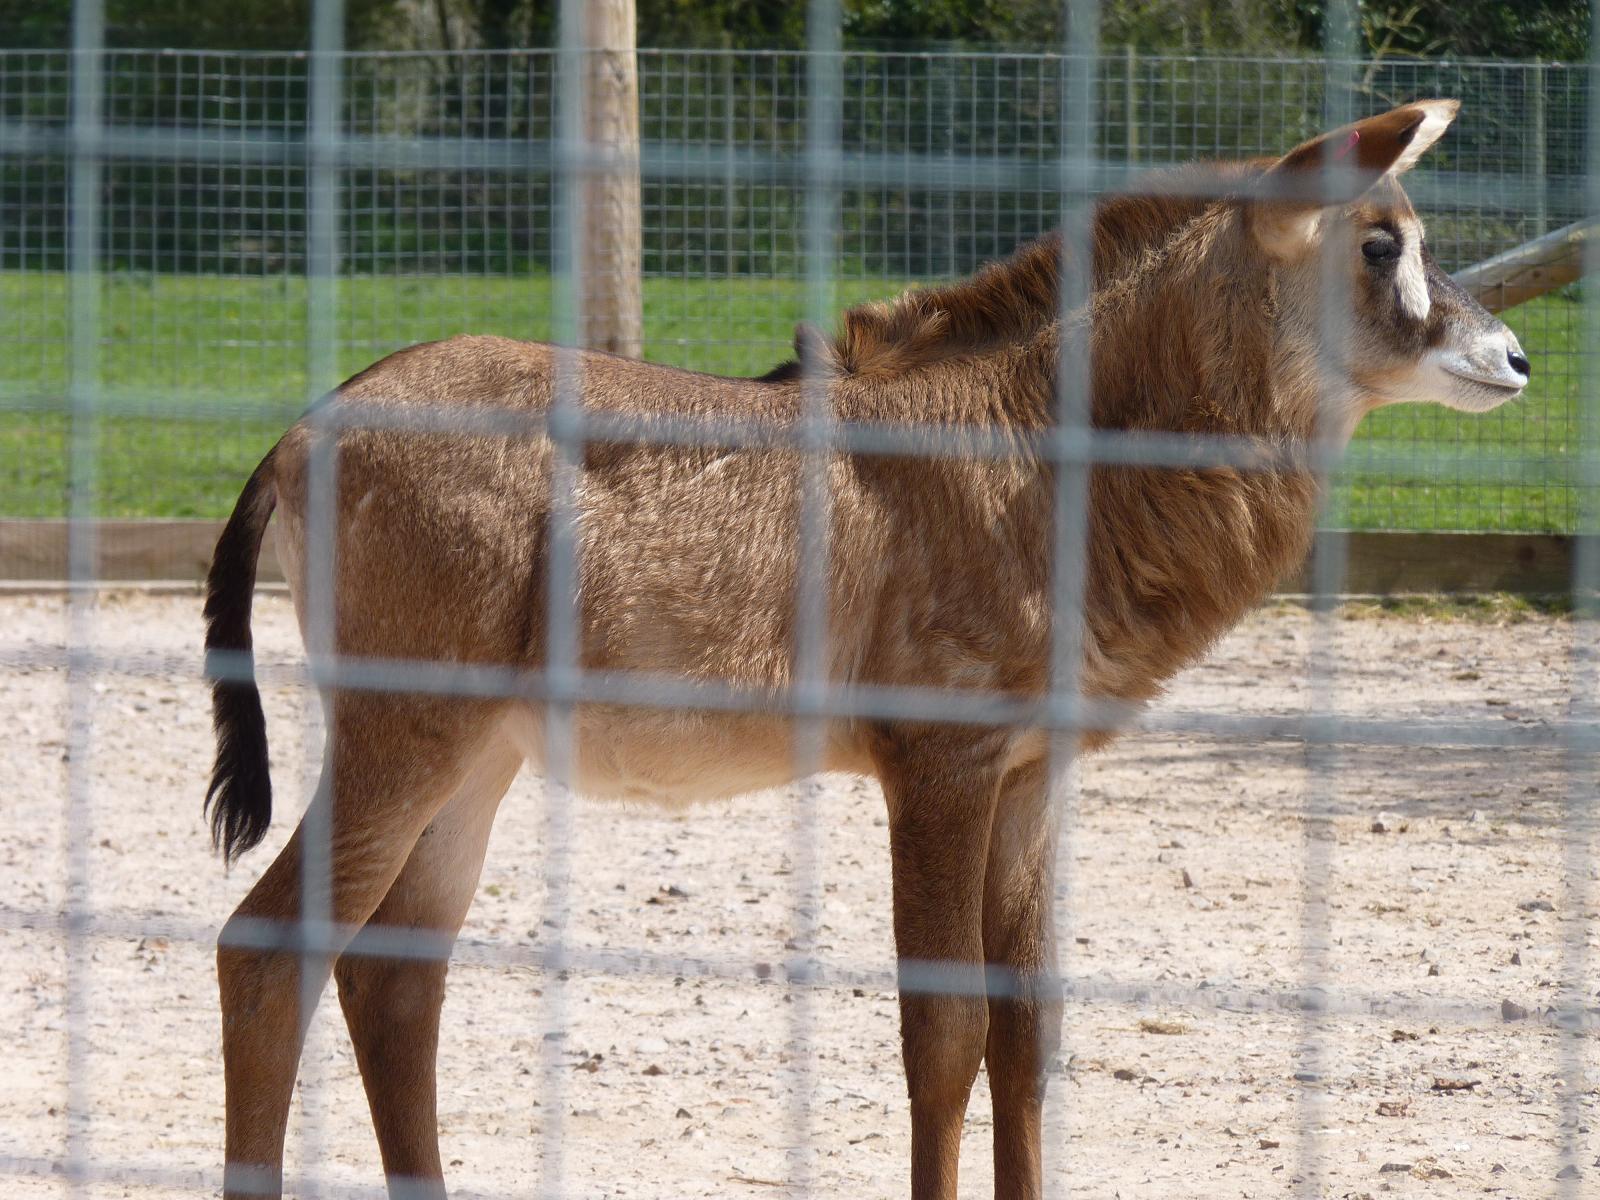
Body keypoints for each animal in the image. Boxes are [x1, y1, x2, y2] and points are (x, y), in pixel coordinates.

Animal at [204, 99, 1527, 1199]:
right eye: (1380, 243)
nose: (1511, 358)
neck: (1035, 448)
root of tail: (302, 433)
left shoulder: (1027, 782)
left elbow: (1026, 1030)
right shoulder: (936, 768)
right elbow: (943, 1034)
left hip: (476, 759)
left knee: (393, 978)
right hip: (404, 736)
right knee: (269, 951)